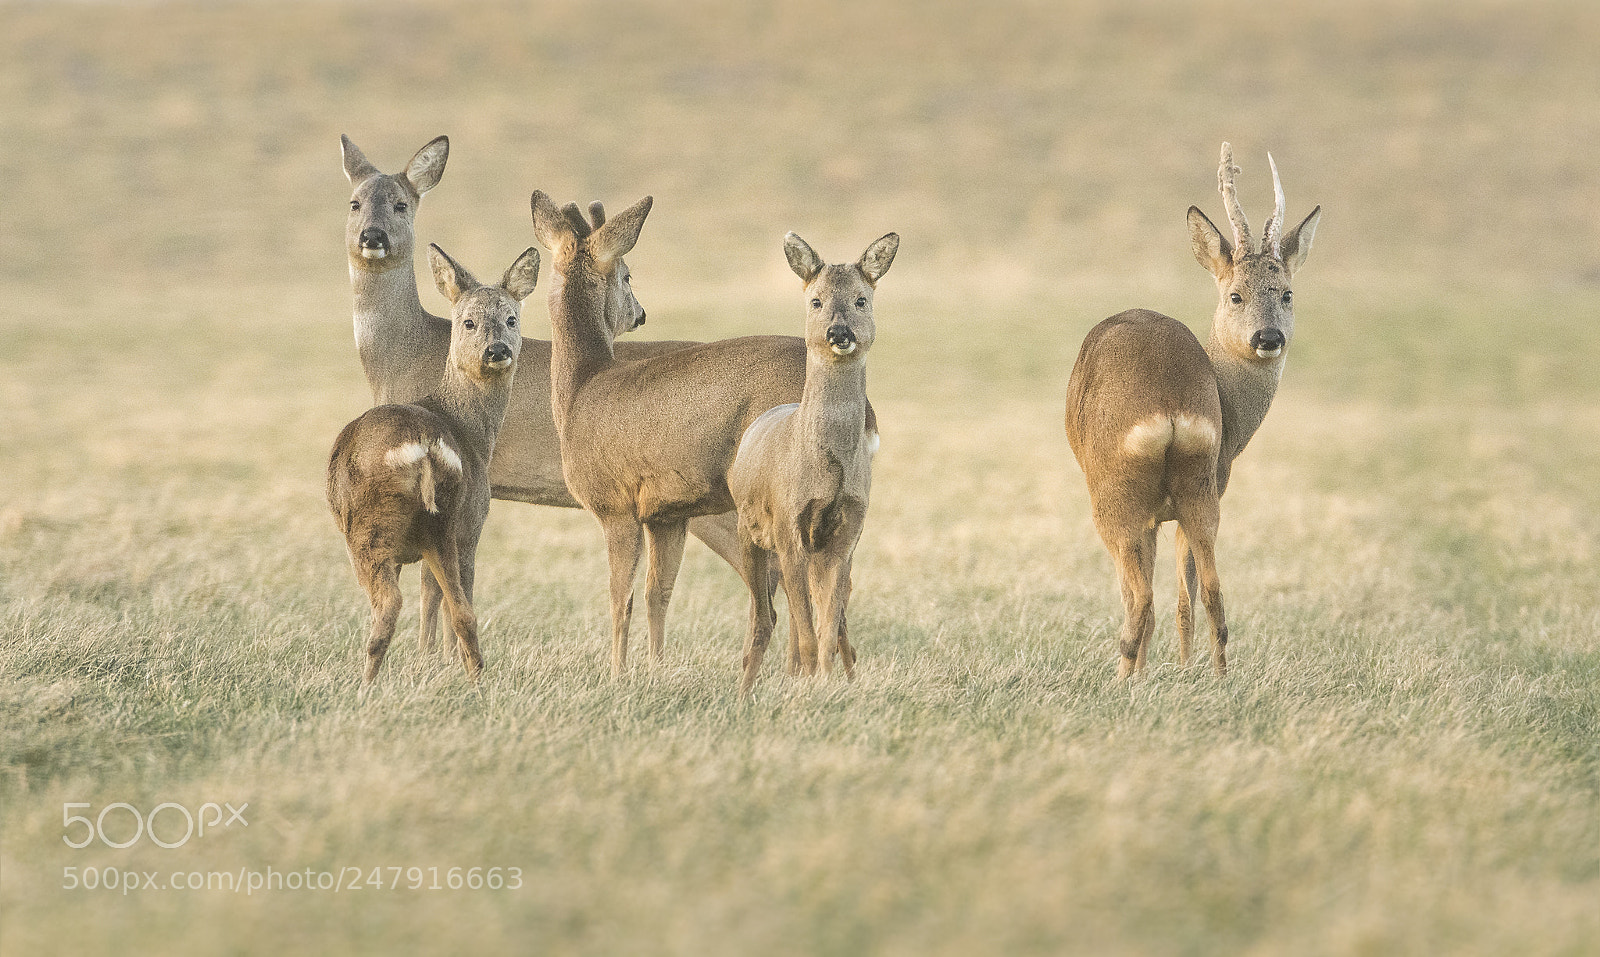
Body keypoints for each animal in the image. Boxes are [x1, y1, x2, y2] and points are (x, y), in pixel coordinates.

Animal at [326, 243, 538, 685]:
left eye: (511, 318)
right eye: (469, 322)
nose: (498, 350)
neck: (470, 430)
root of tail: (423, 445)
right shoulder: (470, 524)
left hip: (370, 532)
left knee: (388, 606)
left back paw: (365, 684)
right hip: (444, 525)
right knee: (464, 611)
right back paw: (476, 680)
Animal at [340, 135, 769, 655]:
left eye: (402, 203)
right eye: (354, 201)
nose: (372, 236)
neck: (406, 355)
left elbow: (433, 587)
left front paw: (428, 659)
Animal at [529, 191, 881, 678]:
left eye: (627, 272)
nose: (641, 314)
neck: (582, 389)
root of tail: (868, 411)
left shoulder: (614, 503)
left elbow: (621, 600)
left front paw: (617, 674)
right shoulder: (666, 513)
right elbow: (658, 594)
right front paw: (655, 670)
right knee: (835, 589)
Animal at [728, 232, 896, 695]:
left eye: (861, 299)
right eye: (816, 301)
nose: (838, 332)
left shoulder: (847, 531)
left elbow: (827, 624)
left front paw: (825, 683)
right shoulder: (789, 525)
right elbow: (805, 627)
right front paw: (808, 685)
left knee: (817, 621)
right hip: (748, 530)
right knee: (763, 618)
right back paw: (746, 689)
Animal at [1064, 143, 1320, 679]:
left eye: (1287, 293)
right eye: (1236, 294)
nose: (1269, 337)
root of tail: (1169, 407)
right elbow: (1189, 594)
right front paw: (1182, 668)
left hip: (1114, 493)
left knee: (1139, 597)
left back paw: (1123, 679)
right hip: (1202, 488)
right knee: (1212, 592)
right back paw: (1215, 677)